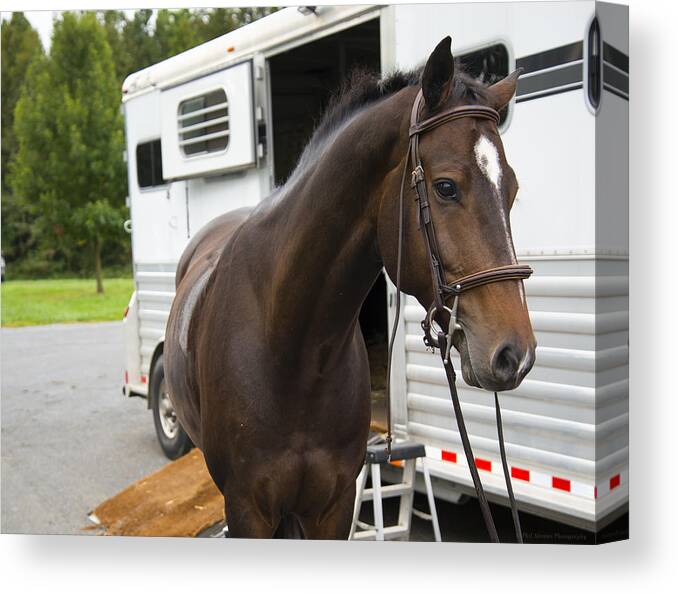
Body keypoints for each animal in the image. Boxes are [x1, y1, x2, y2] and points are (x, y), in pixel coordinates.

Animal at [165, 35, 536, 536]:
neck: (293, 349)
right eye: (445, 187)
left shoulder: (334, 505)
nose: (515, 354)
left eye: (511, 190)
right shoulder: (247, 509)